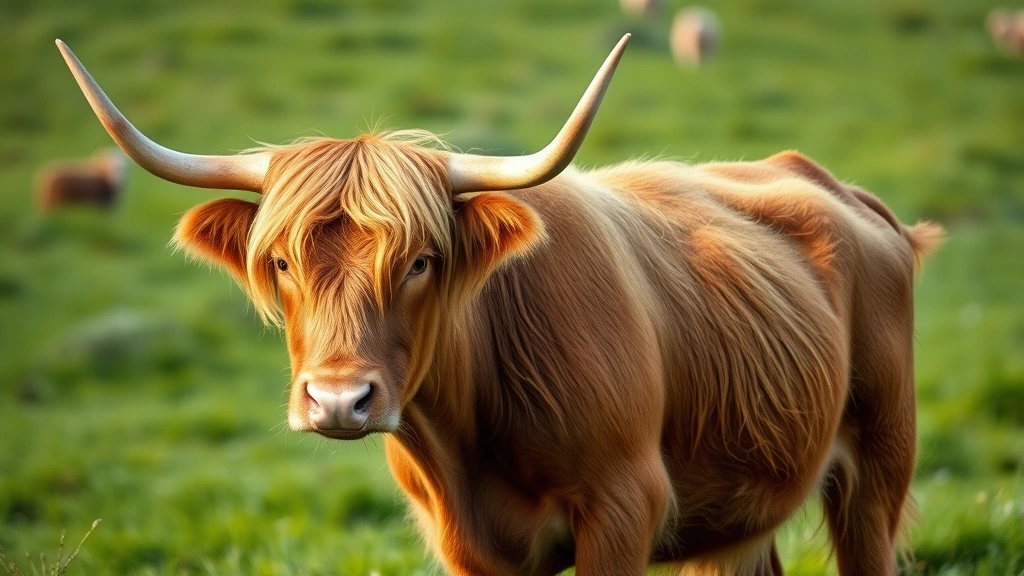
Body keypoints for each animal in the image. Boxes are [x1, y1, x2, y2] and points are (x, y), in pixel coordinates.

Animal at [57, 34, 942, 575]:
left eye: (420, 260)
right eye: (280, 261)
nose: (339, 401)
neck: (470, 432)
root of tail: (834, 185)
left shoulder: (624, 508)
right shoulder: (468, 547)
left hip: (877, 469)